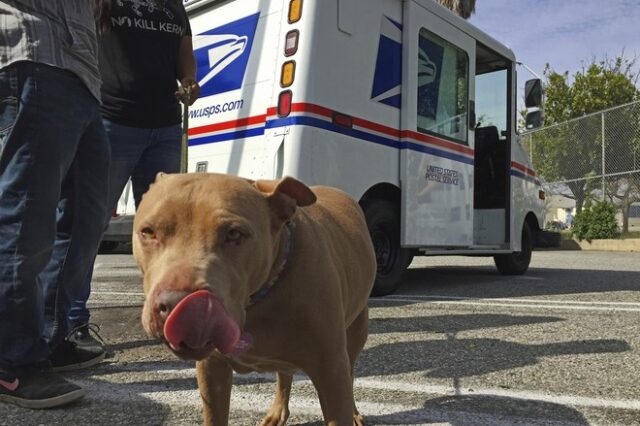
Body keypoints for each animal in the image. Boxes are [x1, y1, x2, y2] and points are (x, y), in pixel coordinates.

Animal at [132, 171, 378, 424]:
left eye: (234, 234)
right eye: (148, 232)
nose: (176, 304)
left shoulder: (331, 373)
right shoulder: (212, 370)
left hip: (356, 332)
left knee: (350, 371)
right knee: (284, 374)